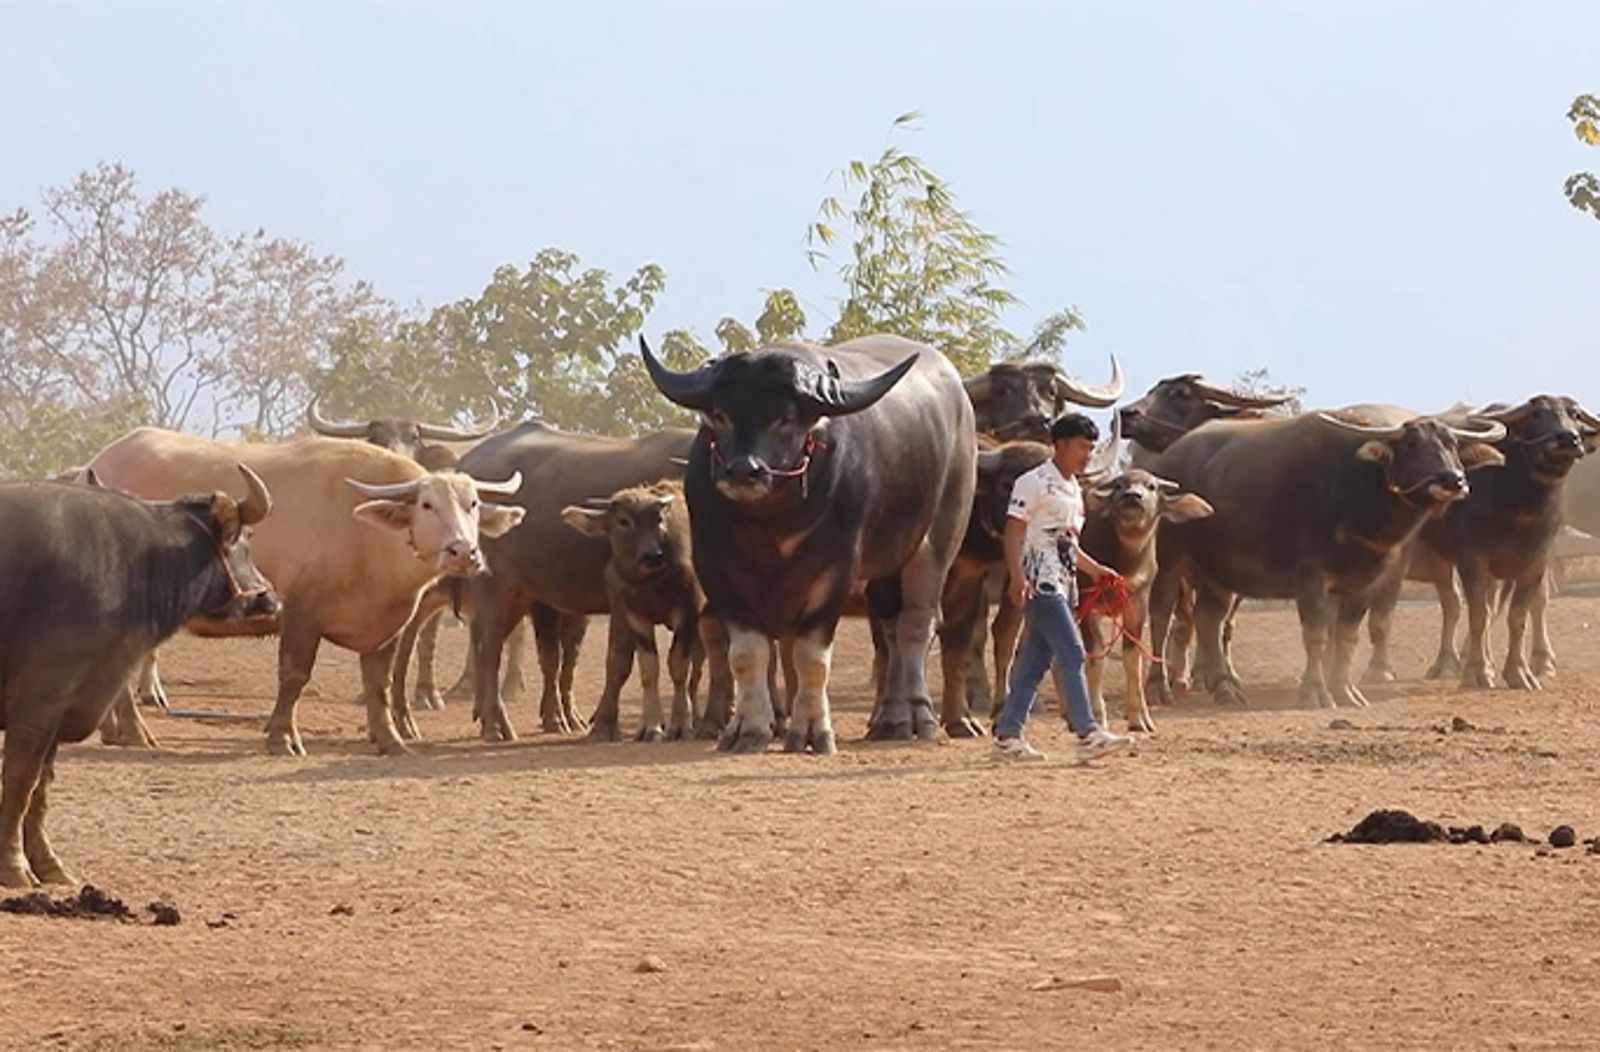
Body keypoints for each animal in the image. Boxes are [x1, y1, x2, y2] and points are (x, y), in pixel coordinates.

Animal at [0, 466, 278, 882]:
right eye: (246, 540)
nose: (272, 600)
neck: (135, 562)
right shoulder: (41, 699)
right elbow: (20, 781)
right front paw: (14, 868)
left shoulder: (66, 705)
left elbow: (41, 788)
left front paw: (49, 865)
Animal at [454, 418, 697, 738]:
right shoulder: (620, 598)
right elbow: (619, 660)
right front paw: (605, 722)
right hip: (493, 586)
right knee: (489, 651)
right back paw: (496, 724)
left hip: (521, 595)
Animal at [640, 332, 972, 748]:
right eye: (720, 415)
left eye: (784, 419)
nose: (743, 471)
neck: (772, 523)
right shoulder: (716, 569)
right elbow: (747, 654)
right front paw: (748, 728)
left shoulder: (837, 571)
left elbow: (810, 658)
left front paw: (812, 730)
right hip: (885, 568)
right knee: (890, 629)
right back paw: (890, 720)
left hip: (938, 540)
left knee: (916, 625)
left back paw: (917, 717)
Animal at [1145, 407, 1504, 703]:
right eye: (1412, 444)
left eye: (1452, 444)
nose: (1453, 479)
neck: (1357, 489)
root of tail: (1166, 463)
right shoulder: (1310, 579)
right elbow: (1316, 636)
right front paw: (1315, 692)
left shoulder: (1363, 582)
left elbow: (1346, 637)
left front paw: (1345, 691)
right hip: (1169, 559)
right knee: (1161, 616)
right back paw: (1158, 687)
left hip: (1219, 569)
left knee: (1209, 618)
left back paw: (1224, 688)